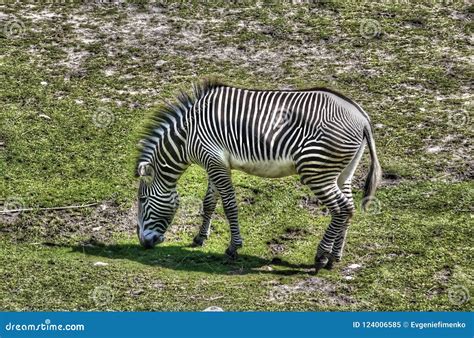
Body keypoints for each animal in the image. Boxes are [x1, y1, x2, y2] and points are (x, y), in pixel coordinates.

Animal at [136, 80, 382, 274]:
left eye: (141, 200)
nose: (143, 243)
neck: (186, 135)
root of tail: (362, 118)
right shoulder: (214, 162)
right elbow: (209, 202)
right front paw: (199, 238)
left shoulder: (213, 160)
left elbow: (229, 206)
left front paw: (233, 248)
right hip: (343, 171)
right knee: (349, 208)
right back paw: (334, 258)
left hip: (316, 169)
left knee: (341, 208)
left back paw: (321, 258)